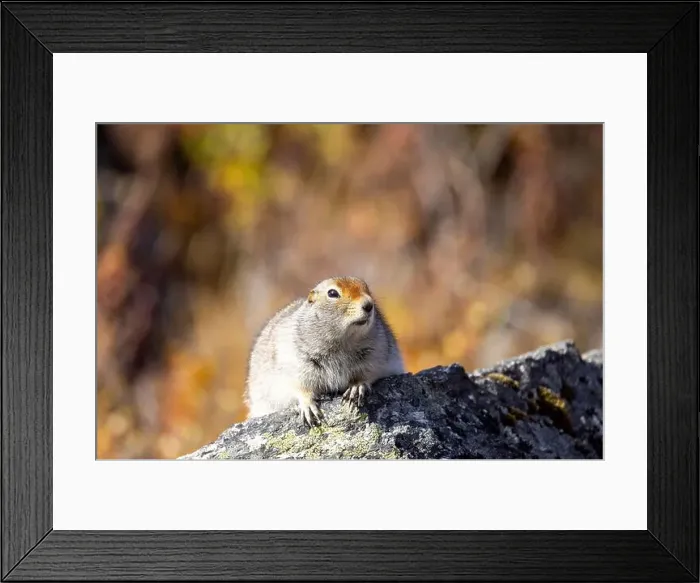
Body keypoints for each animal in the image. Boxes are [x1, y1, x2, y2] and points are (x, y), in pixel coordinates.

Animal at [244, 276, 405, 427]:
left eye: (367, 288)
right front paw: (309, 407)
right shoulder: (295, 364)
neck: (342, 341)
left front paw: (357, 387)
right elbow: (300, 387)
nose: (369, 305)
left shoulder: (377, 352)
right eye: (332, 293)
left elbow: (368, 373)